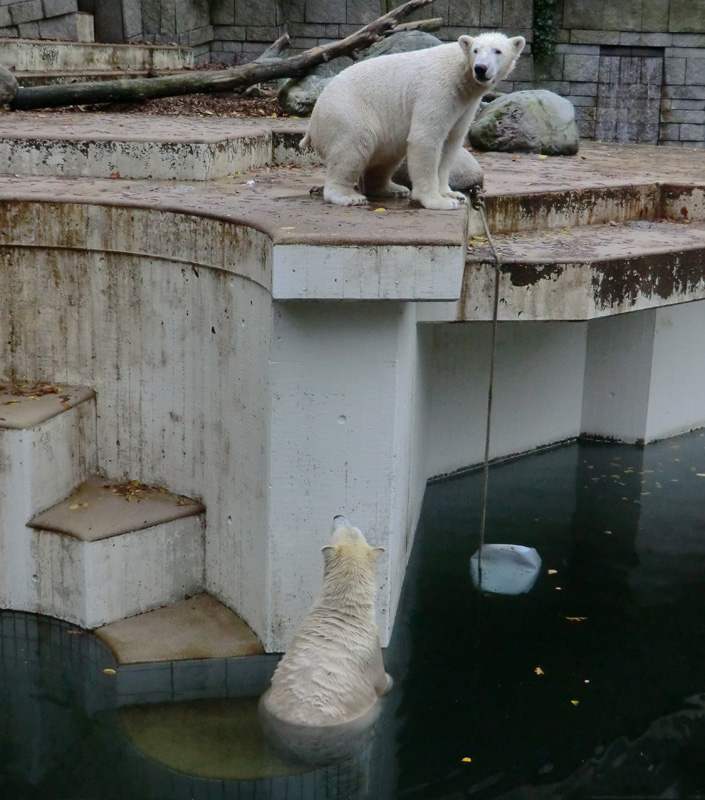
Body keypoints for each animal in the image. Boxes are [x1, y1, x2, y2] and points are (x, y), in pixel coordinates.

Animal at [260, 516, 390, 728]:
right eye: (340, 529)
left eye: (354, 528)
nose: (338, 516)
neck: (344, 611)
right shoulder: (373, 652)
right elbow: (383, 681)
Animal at [300, 33, 524, 211]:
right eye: (476, 50)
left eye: (498, 51)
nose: (480, 68)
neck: (462, 75)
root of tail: (314, 118)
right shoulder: (437, 89)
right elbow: (425, 138)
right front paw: (439, 201)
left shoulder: (465, 105)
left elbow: (451, 143)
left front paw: (452, 193)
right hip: (347, 112)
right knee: (353, 146)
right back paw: (348, 196)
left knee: (387, 155)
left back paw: (392, 189)